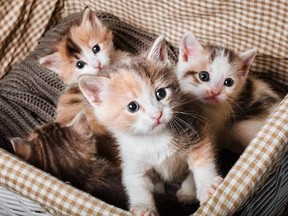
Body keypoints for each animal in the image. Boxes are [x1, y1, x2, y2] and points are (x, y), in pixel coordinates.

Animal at [77, 34, 222, 215]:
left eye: (161, 93)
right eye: (132, 107)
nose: (157, 115)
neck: (155, 138)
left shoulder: (196, 129)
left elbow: (202, 161)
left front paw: (207, 187)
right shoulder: (131, 159)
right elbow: (134, 181)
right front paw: (143, 207)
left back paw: (187, 192)